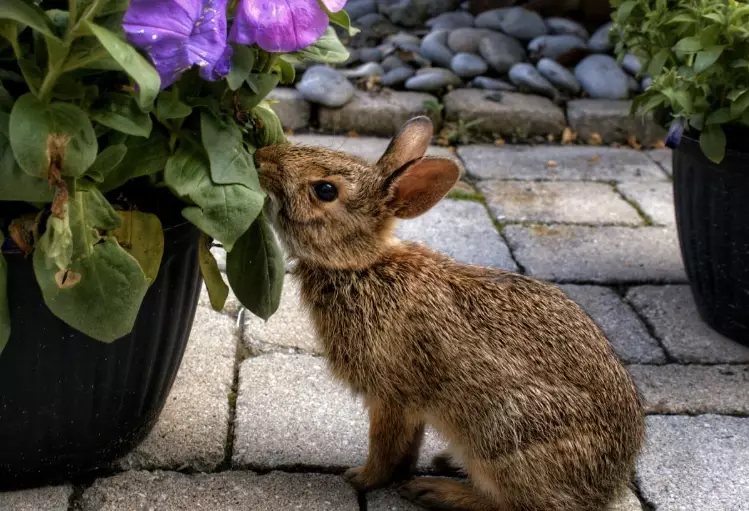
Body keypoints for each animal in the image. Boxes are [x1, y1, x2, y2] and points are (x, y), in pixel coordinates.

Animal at [254, 116, 645, 511]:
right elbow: (408, 445)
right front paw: (395, 474)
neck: (360, 267)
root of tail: (606, 487)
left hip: (505, 435)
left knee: (517, 503)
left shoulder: (392, 396)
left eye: (325, 190)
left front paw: (362, 479)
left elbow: (385, 445)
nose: (261, 158)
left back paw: (435, 490)